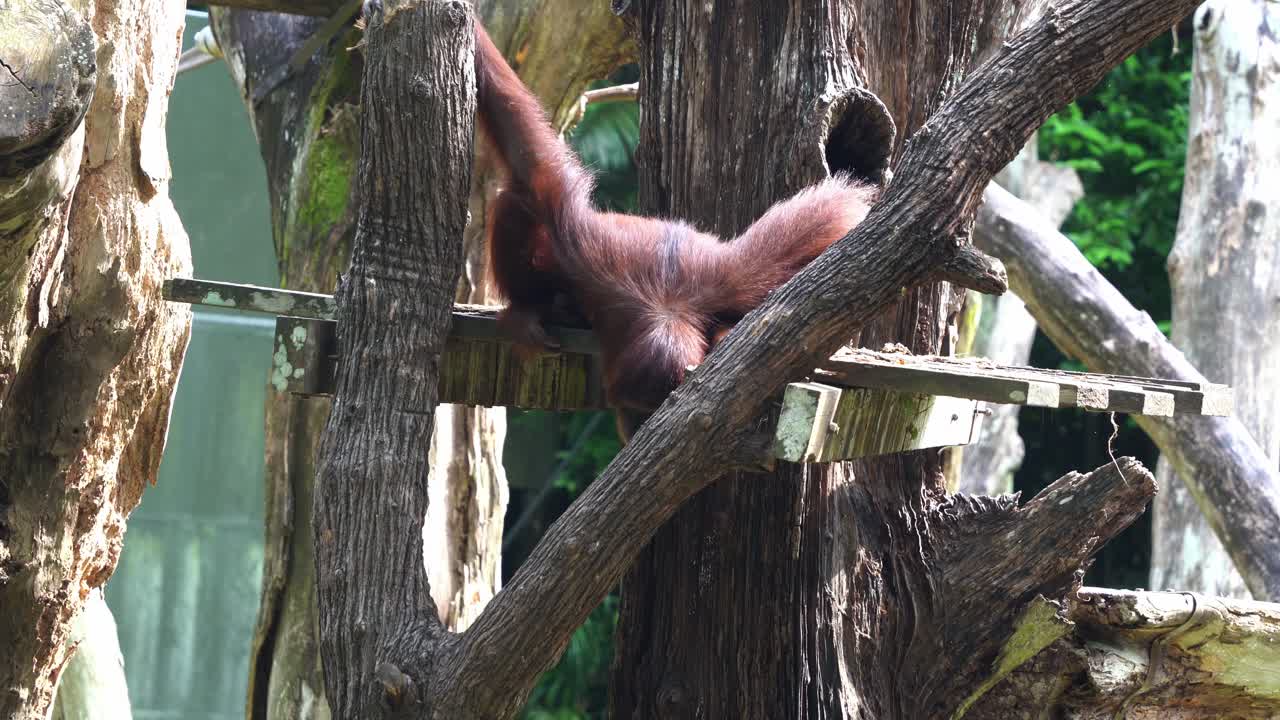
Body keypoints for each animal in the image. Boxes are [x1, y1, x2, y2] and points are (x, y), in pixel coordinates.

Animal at [473, 21, 878, 439]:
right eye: (638, 409)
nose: (633, 426)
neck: (665, 300)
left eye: (651, 410)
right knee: (517, 199)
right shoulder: (584, 246)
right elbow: (535, 163)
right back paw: (532, 312)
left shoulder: (737, 278)